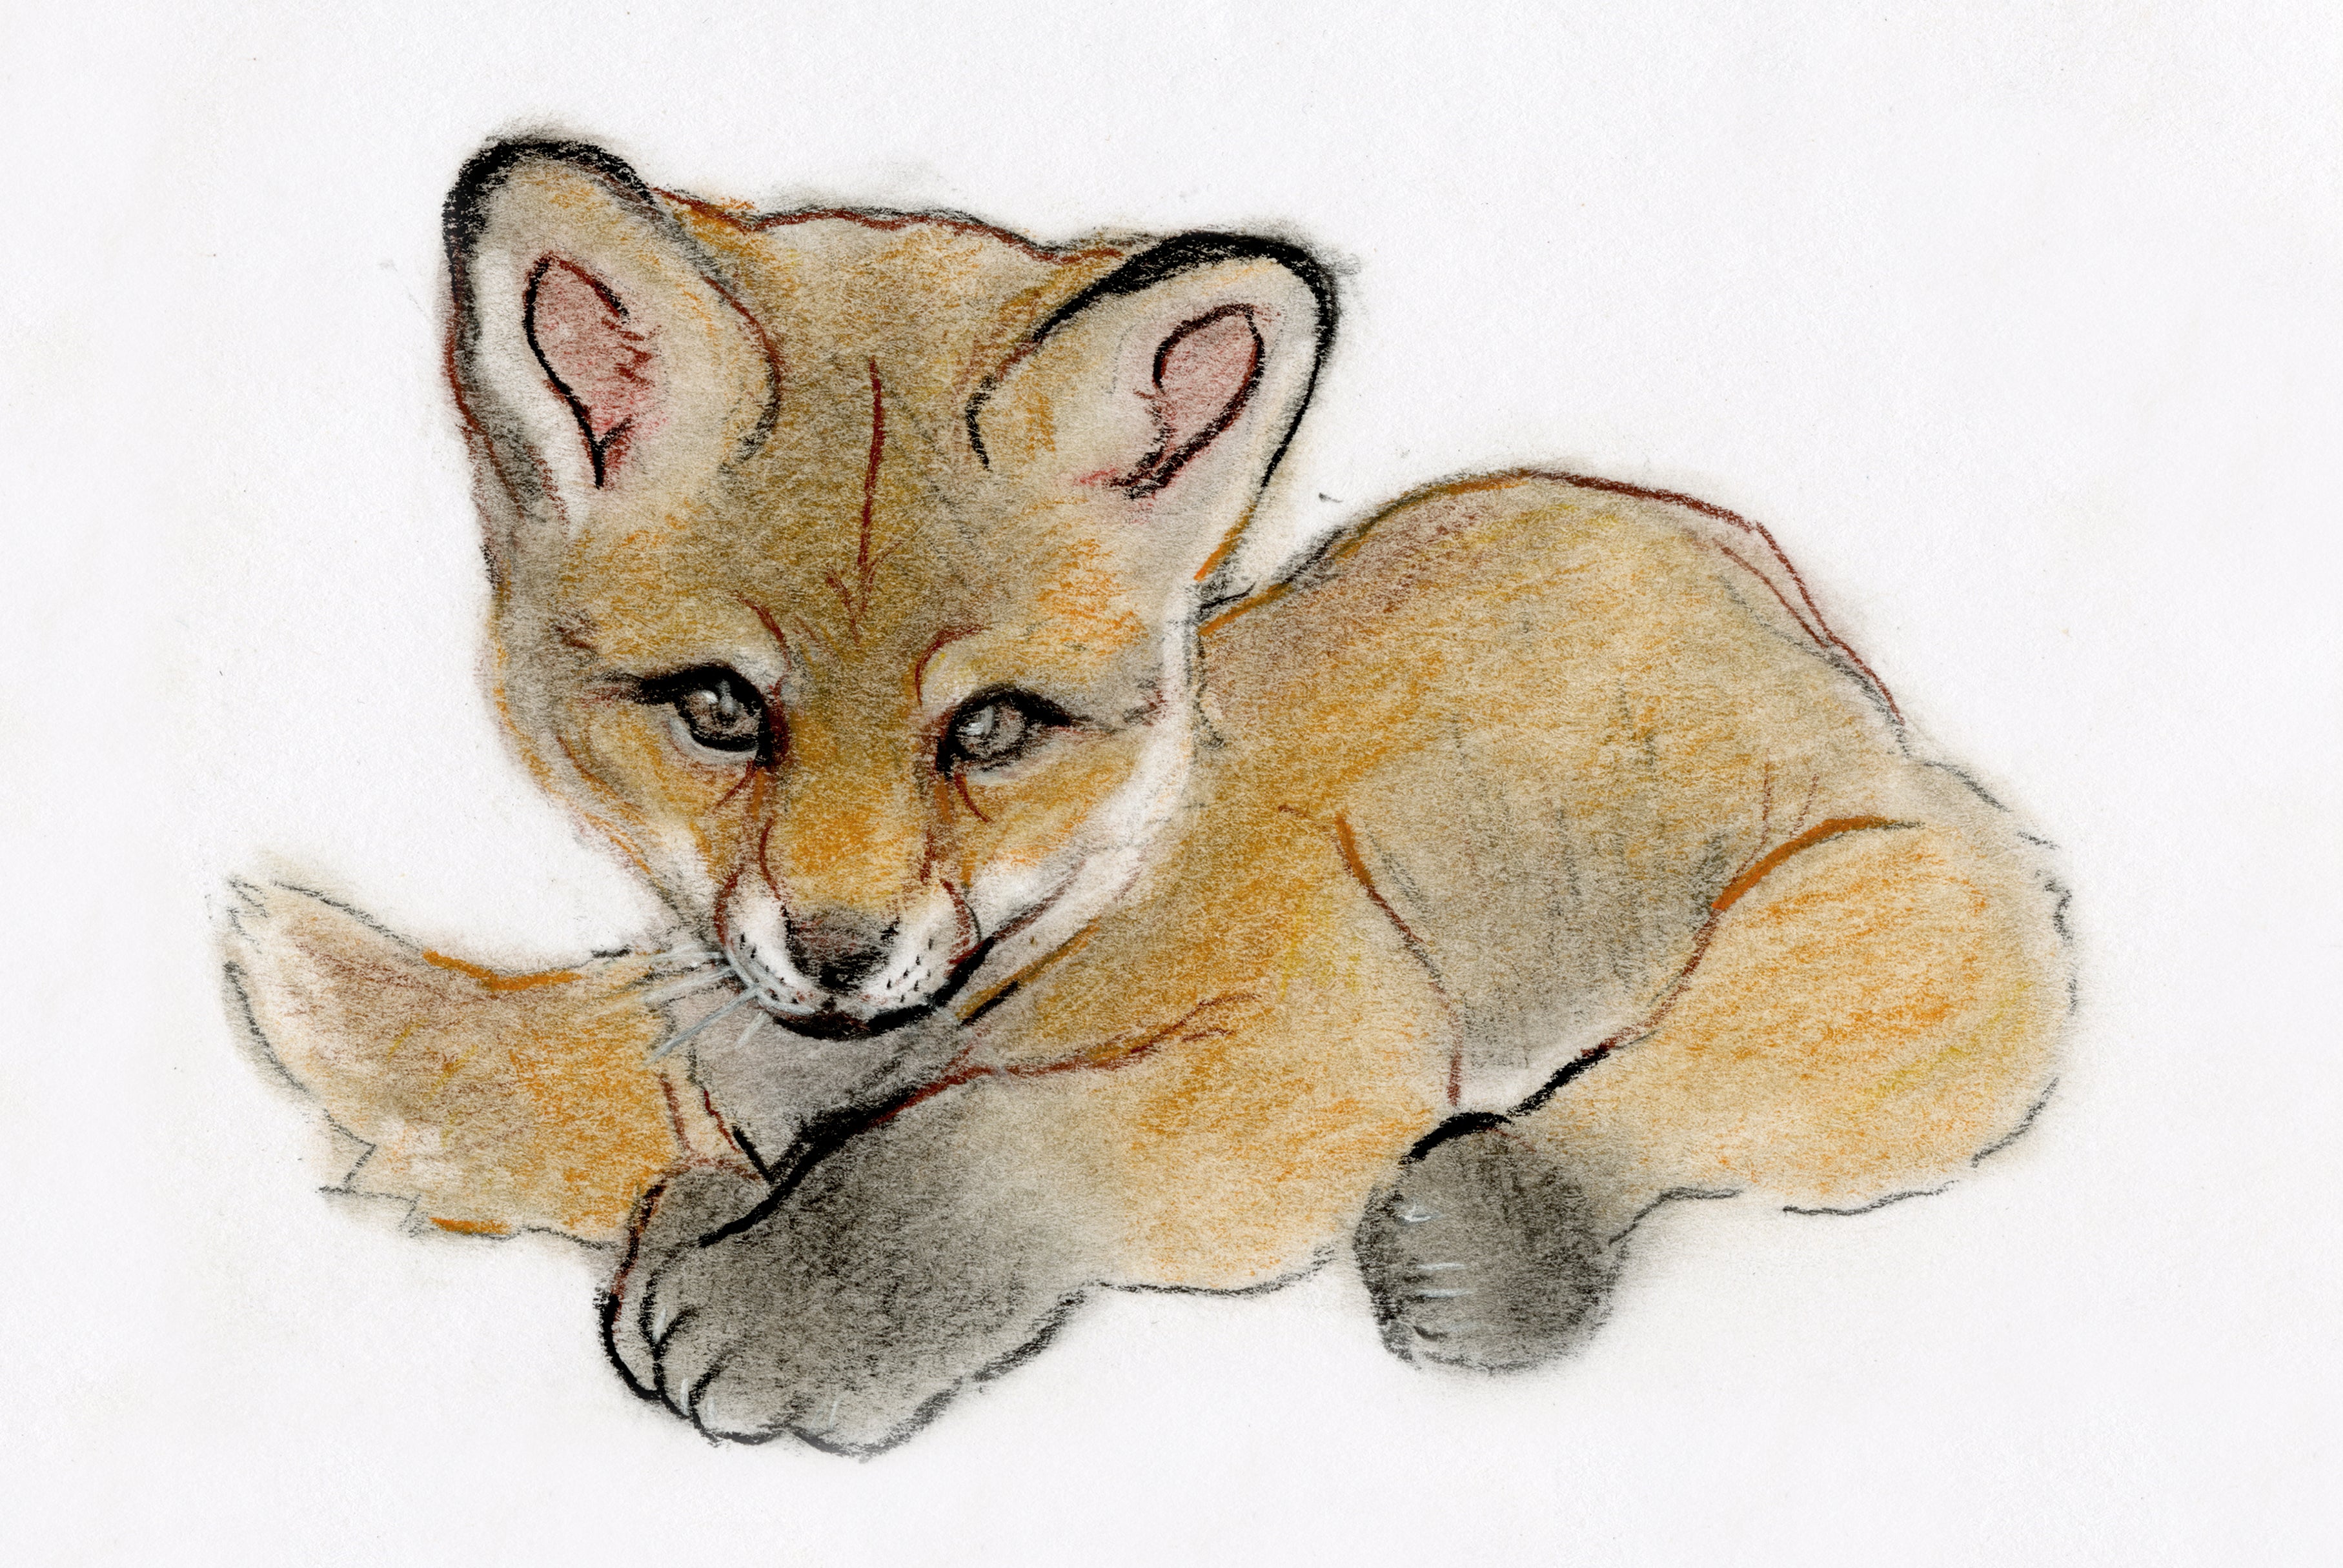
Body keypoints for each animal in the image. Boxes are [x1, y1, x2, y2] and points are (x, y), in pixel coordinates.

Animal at [227, 138, 2071, 1455]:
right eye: (718, 710)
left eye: (992, 730)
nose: (836, 948)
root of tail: (1745, 575)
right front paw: (701, 1222)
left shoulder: (1330, 1039)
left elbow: (1000, 1142)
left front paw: (791, 1311)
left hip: (1907, 906)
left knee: (1686, 1090)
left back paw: (1491, 1236)